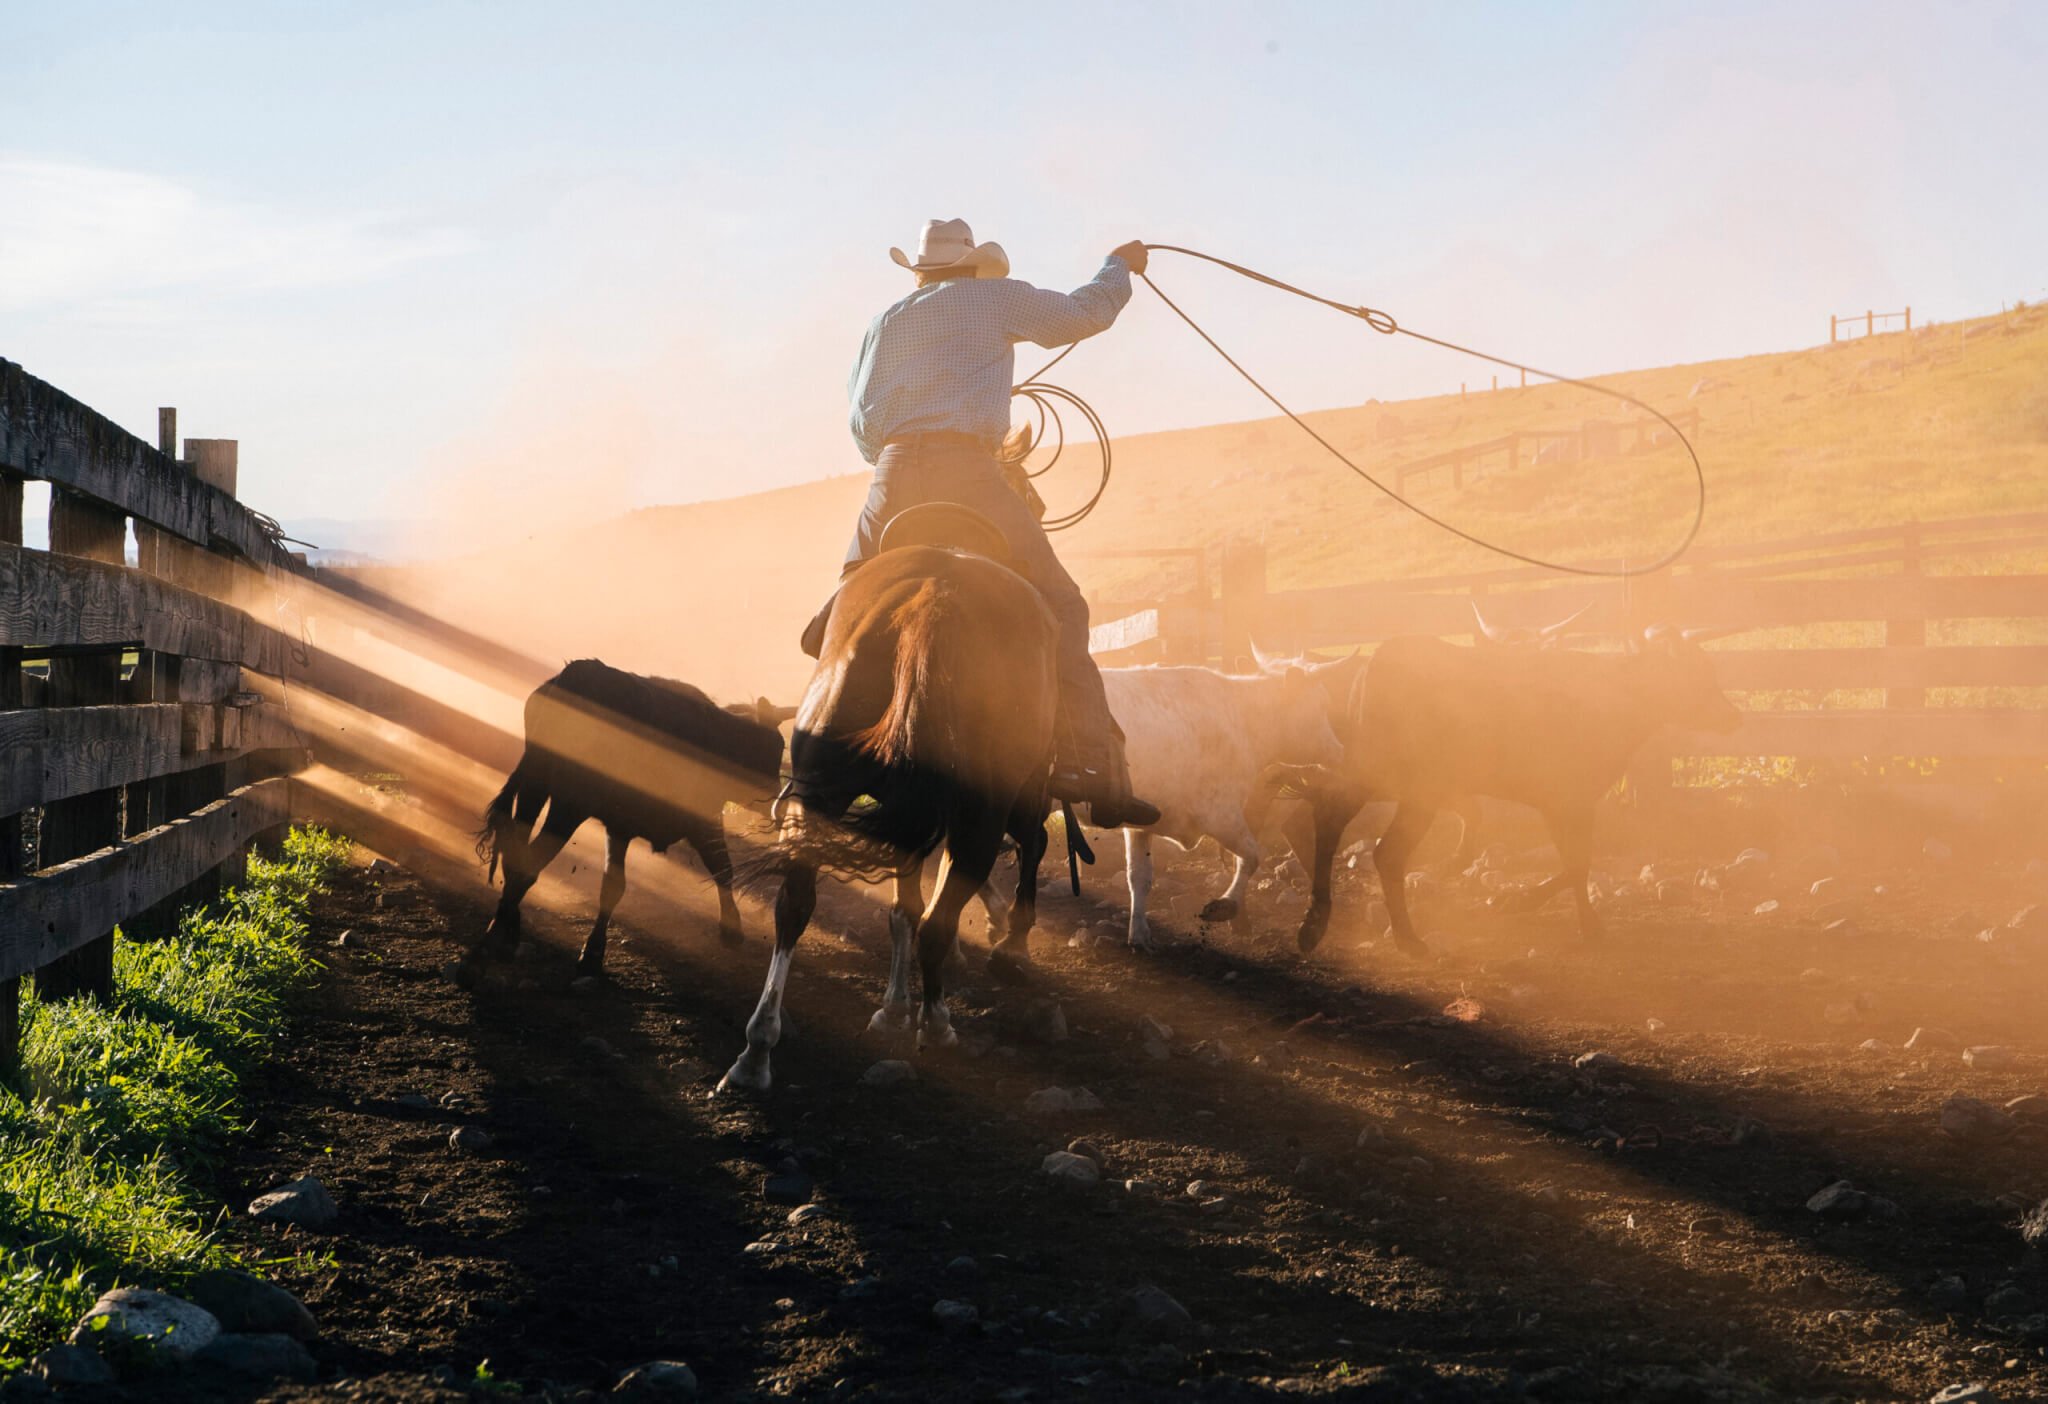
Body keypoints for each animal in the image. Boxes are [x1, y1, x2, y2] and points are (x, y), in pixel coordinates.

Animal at [471, 659, 790, 978]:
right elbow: (722, 867)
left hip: (534, 788)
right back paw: (498, 936)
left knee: (516, 857)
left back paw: (504, 930)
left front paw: (593, 952)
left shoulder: (621, 826)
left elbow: (613, 886)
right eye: (771, 750)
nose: (779, 801)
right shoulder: (704, 820)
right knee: (529, 863)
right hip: (566, 807)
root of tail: (575, 674)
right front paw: (731, 929)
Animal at [716, 544, 1056, 1097]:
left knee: (795, 904)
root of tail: (931, 603)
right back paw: (938, 1023)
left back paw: (757, 1048)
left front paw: (893, 1008)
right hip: (983, 815)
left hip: (821, 797)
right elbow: (1025, 848)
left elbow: (902, 910)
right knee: (944, 917)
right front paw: (1010, 942)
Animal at [1097, 663, 1351, 957]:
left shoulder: (1142, 824)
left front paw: (1139, 934)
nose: (1340, 751)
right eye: (1321, 706)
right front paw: (1225, 906)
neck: (1242, 722)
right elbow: (1252, 856)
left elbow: (1139, 877)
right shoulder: (1220, 815)